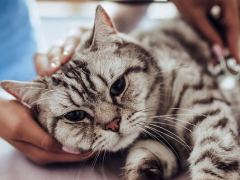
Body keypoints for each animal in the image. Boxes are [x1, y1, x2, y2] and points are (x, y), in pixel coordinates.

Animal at [0, 5, 239, 180]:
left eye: (118, 86)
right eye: (75, 115)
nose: (113, 124)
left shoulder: (209, 114)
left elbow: (215, 162)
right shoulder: (157, 145)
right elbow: (141, 161)